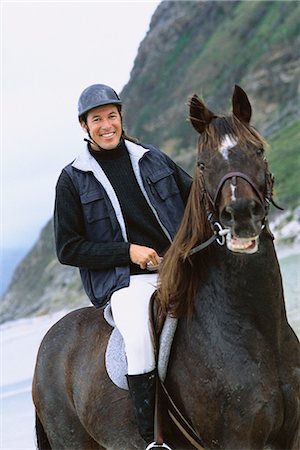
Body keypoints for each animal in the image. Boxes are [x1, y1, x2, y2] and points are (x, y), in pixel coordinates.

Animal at [31, 85, 298, 450]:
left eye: (257, 150)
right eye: (202, 164)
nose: (241, 215)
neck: (258, 329)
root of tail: (49, 343)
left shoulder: (292, 435)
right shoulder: (235, 441)